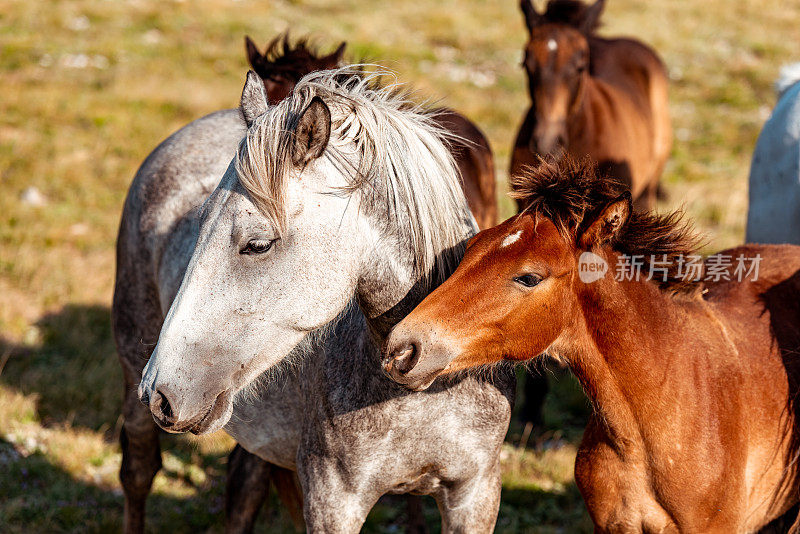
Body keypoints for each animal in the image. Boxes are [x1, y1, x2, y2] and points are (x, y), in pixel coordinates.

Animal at [112, 69, 512, 532]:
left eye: (257, 245)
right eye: (200, 222)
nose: (160, 391)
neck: (424, 385)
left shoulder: (475, 494)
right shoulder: (332, 501)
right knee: (139, 473)